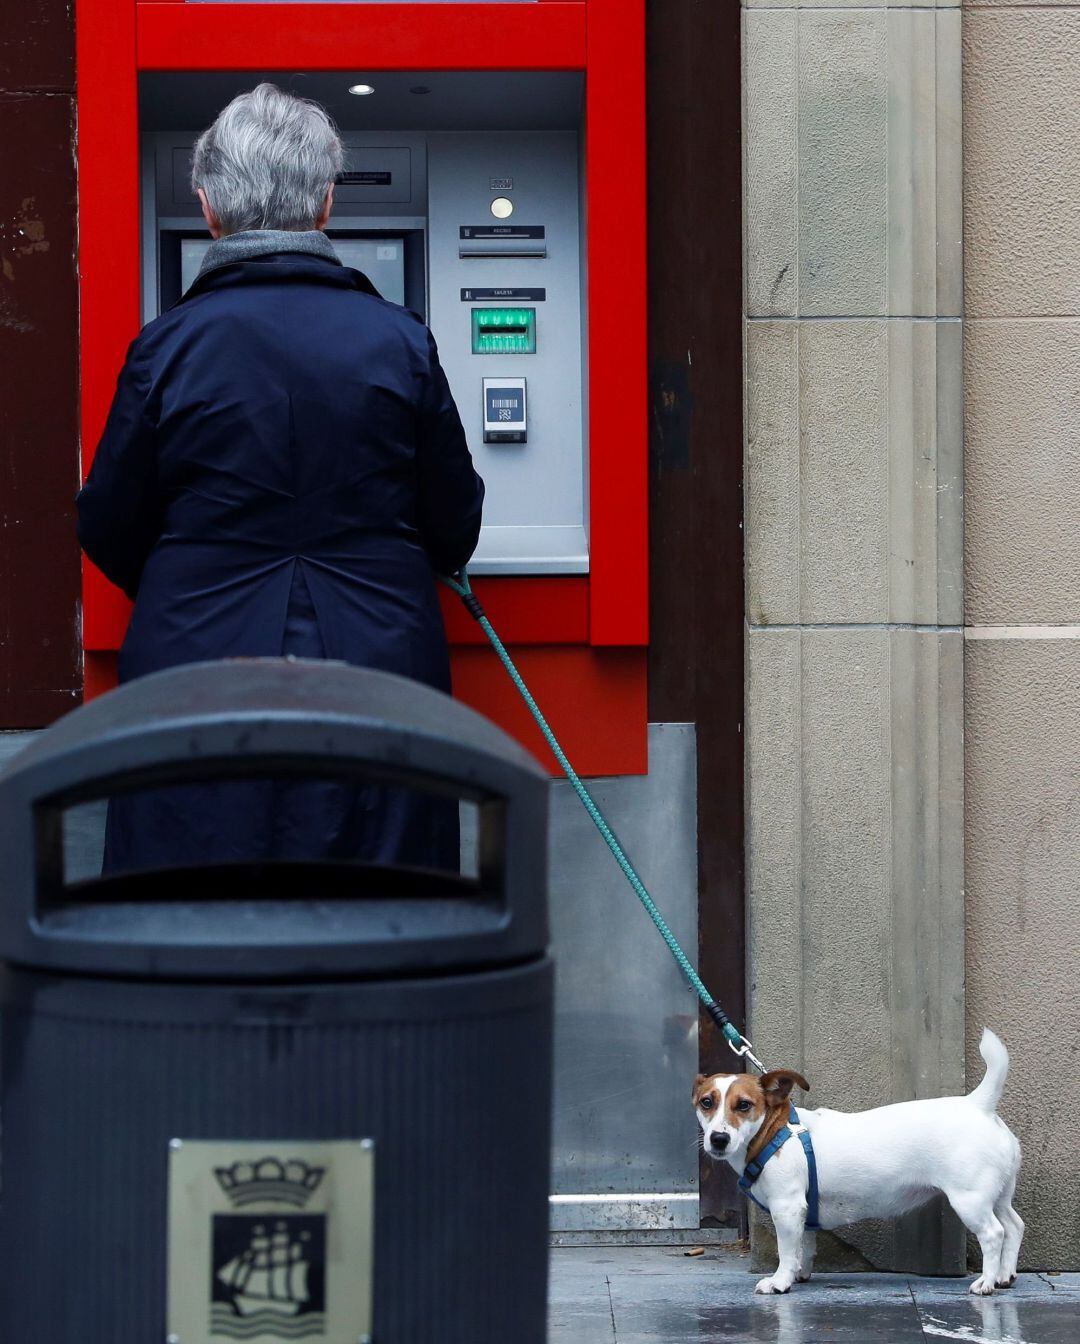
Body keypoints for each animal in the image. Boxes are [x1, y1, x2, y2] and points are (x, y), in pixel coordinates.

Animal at [698, 1026, 1026, 1290]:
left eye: (744, 1105)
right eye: (706, 1102)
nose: (718, 1138)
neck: (774, 1132)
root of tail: (978, 1104)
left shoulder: (787, 1208)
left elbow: (787, 1251)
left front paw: (780, 1281)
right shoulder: (804, 1214)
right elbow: (804, 1247)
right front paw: (799, 1274)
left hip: (970, 1200)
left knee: (994, 1233)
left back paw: (986, 1282)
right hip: (997, 1195)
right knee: (1014, 1225)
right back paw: (1004, 1276)